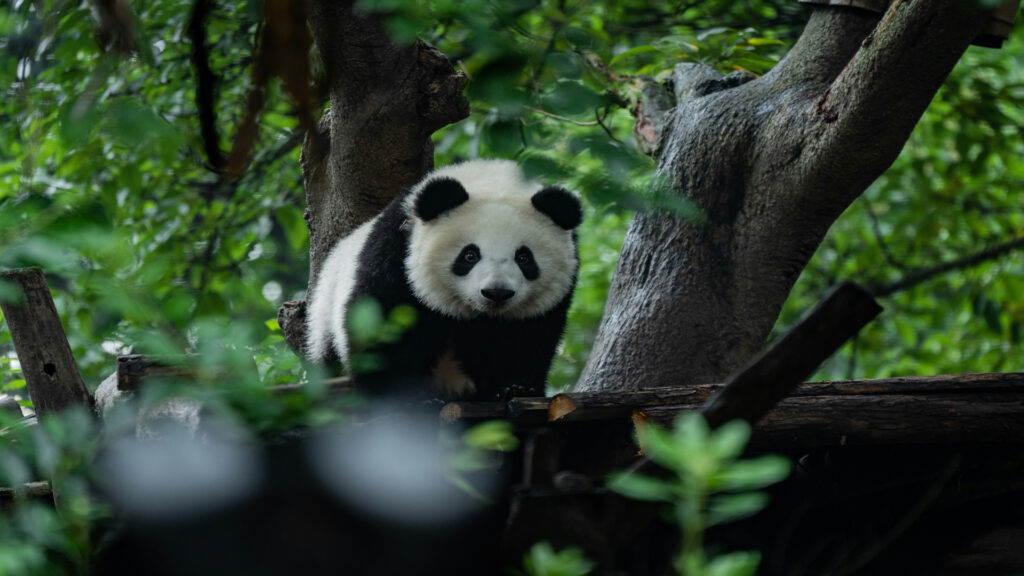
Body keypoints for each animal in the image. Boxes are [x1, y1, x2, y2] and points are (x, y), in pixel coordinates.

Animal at [305, 159, 582, 400]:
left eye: (524, 258)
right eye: (470, 255)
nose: (497, 293)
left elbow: (528, 338)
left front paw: (516, 388)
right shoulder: (396, 252)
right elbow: (381, 323)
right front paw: (397, 394)